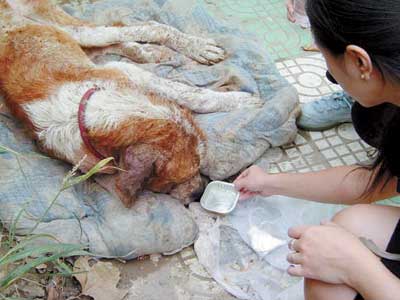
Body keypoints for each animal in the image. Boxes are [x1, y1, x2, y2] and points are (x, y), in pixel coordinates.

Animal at [0, 0, 264, 206]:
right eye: (174, 182)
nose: (199, 193)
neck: (86, 114)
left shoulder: (125, 72)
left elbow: (191, 93)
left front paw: (239, 100)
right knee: (116, 39)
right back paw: (151, 53)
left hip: (73, 29)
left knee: (143, 28)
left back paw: (193, 47)